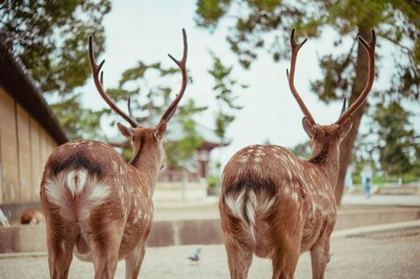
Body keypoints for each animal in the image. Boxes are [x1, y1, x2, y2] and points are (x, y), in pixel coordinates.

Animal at [39, 29, 189, 279]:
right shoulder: (140, 245)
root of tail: (76, 170)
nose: (165, 165)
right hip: (109, 227)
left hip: (54, 225)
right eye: (165, 143)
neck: (145, 179)